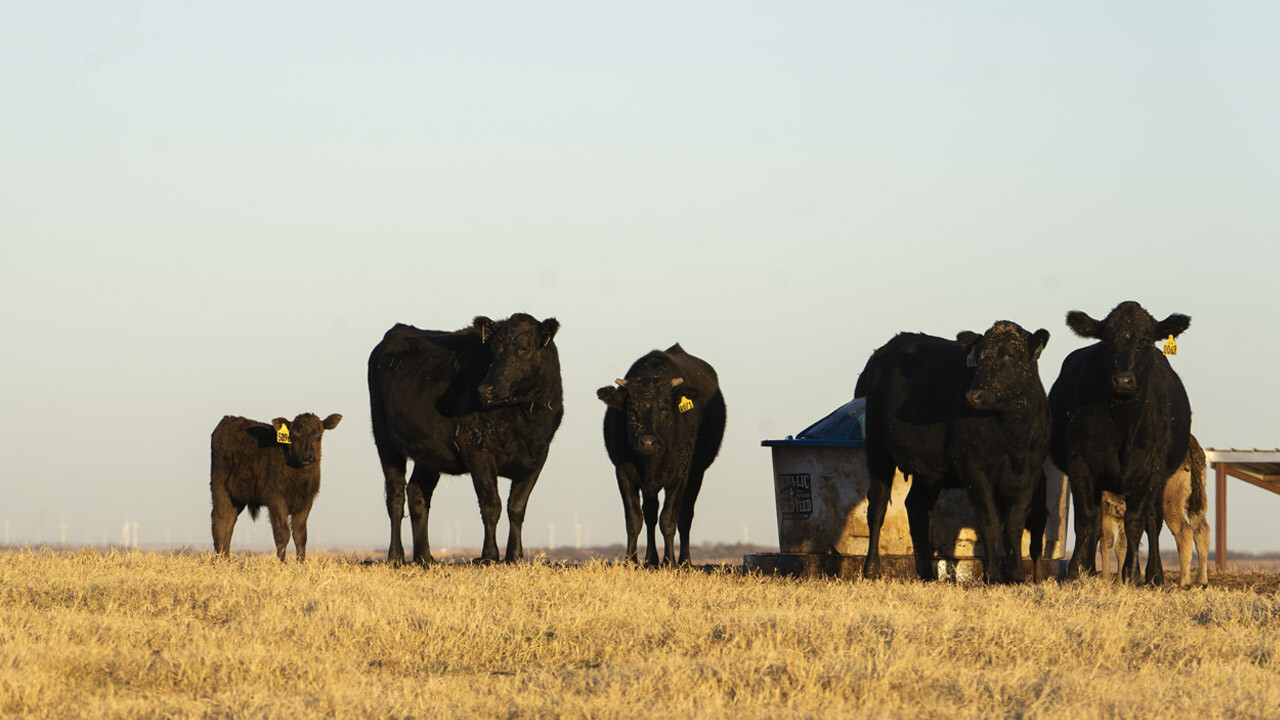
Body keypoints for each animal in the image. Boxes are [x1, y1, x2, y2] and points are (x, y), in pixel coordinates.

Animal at [209, 409, 343, 561]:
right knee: (220, 520)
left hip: (236, 497)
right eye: (294, 437)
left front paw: (301, 563)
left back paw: (226, 559)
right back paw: (220, 560)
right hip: (220, 487)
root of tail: (228, 420)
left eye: (318, 437)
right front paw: (282, 563)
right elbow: (283, 533)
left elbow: (300, 535)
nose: (306, 456)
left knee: (229, 522)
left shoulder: (306, 501)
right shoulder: (275, 498)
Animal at [368, 312, 563, 561]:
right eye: (494, 350)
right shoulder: (478, 451)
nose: (485, 389)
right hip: (384, 438)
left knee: (417, 494)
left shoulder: (538, 456)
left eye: (524, 348)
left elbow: (516, 508)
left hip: (429, 452)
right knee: (395, 496)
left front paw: (515, 556)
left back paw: (424, 557)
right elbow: (492, 505)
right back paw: (395, 556)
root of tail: (399, 329)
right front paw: (489, 555)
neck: (526, 419)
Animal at [596, 343, 727, 566]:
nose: (648, 442)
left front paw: (670, 562)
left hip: (696, 473)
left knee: (685, 516)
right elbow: (634, 519)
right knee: (650, 513)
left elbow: (668, 519)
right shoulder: (623, 472)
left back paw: (685, 562)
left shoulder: (680, 475)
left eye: (664, 409)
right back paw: (650, 559)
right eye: (632, 410)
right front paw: (631, 561)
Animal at [855, 322, 1054, 579]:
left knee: (916, 506)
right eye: (978, 357)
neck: (1014, 434)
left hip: (928, 471)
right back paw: (871, 569)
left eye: (1011, 353)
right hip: (878, 449)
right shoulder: (974, 470)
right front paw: (993, 575)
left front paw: (1018, 575)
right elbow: (989, 522)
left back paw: (926, 574)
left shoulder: (1031, 473)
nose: (973, 395)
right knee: (877, 505)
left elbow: (1014, 525)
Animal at [1049, 299, 1187, 579]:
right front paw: (1076, 570)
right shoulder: (1080, 466)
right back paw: (1091, 570)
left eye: (1145, 340)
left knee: (1153, 520)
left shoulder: (1150, 471)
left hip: (1160, 480)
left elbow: (1135, 522)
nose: (1123, 380)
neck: (1124, 422)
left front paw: (1131, 574)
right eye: (1107, 340)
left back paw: (1154, 575)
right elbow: (1086, 520)